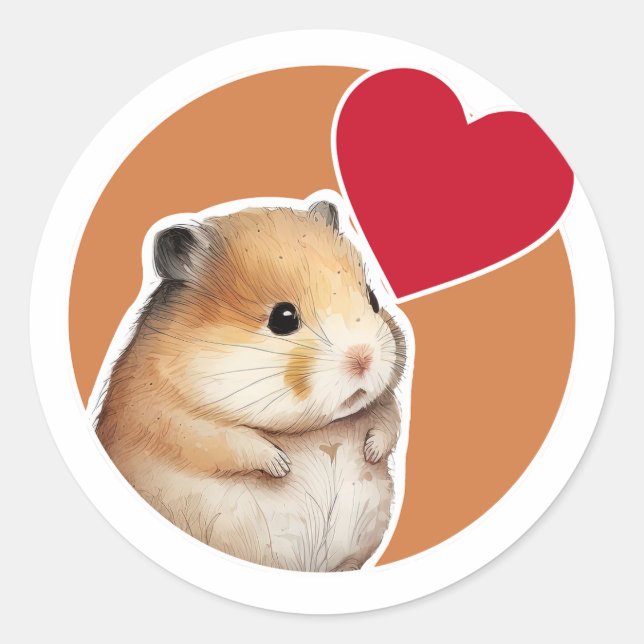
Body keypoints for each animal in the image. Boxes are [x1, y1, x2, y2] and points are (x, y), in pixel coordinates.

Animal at [96, 201, 408, 572]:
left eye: (373, 299)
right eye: (283, 318)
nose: (364, 359)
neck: (315, 430)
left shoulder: (383, 406)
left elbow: (388, 420)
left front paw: (369, 451)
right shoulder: (167, 419)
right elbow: (228, 439)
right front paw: (282, 466)